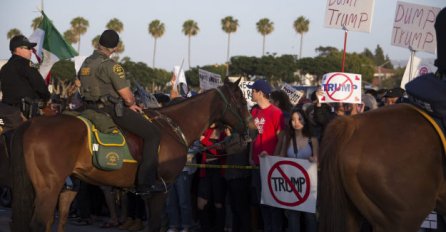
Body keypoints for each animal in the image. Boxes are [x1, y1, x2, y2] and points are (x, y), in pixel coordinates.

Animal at [10, 78, 254, 232]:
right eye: (242, 102)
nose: (253, 130)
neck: (174, 127)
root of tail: (31, 124)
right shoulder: (159, 189)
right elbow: (154, 225)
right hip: (49, 187)